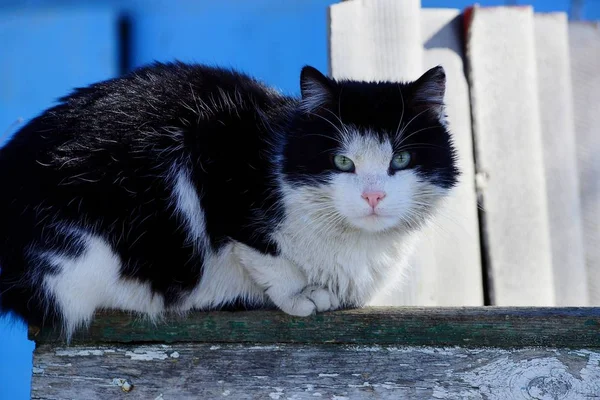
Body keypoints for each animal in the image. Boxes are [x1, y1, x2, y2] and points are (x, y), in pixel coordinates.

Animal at [0, 61, 454, 338]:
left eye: (401, 158)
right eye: (342, 161)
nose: (373, 195)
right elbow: (255, 245)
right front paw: (299, 292)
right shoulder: (211, 155)